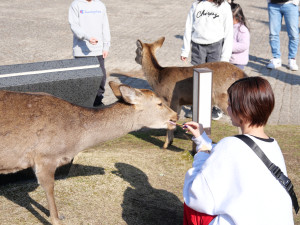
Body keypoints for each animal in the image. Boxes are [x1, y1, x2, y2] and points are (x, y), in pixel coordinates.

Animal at [0, 81, 178, 224]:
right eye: (159, 103)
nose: (175, 116)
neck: (74, 140)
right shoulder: (45, 157)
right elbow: (49, 188)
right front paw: (57, 218)